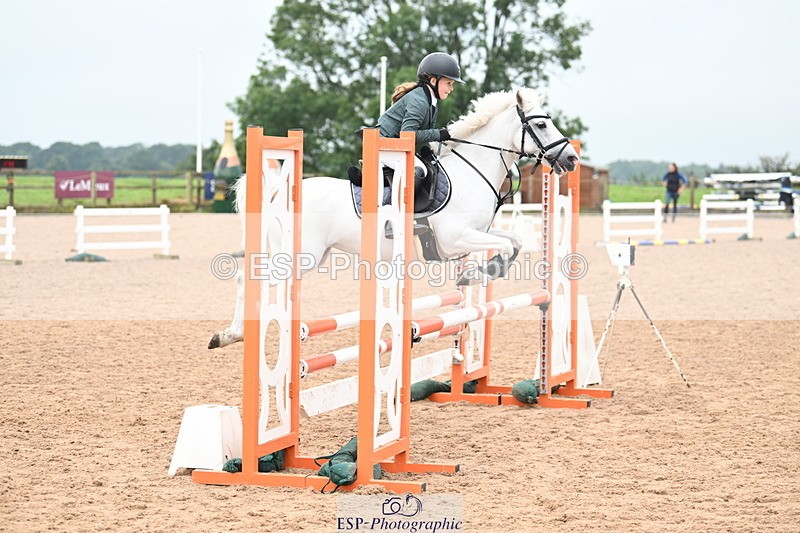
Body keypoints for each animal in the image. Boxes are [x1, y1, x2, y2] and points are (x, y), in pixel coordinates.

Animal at [208, 87, 579, 349]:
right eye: (542, 124)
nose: (572, 159)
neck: (472, 170)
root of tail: (277, 192)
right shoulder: (454, 238)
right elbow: (507, 246)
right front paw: (482, 272)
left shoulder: (470, 236)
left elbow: (512, 241)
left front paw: (476, 273)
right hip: (301, 254)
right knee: (254, 279)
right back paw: (240, 334)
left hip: (302, 254)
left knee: (250, 278)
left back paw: (233, 334)